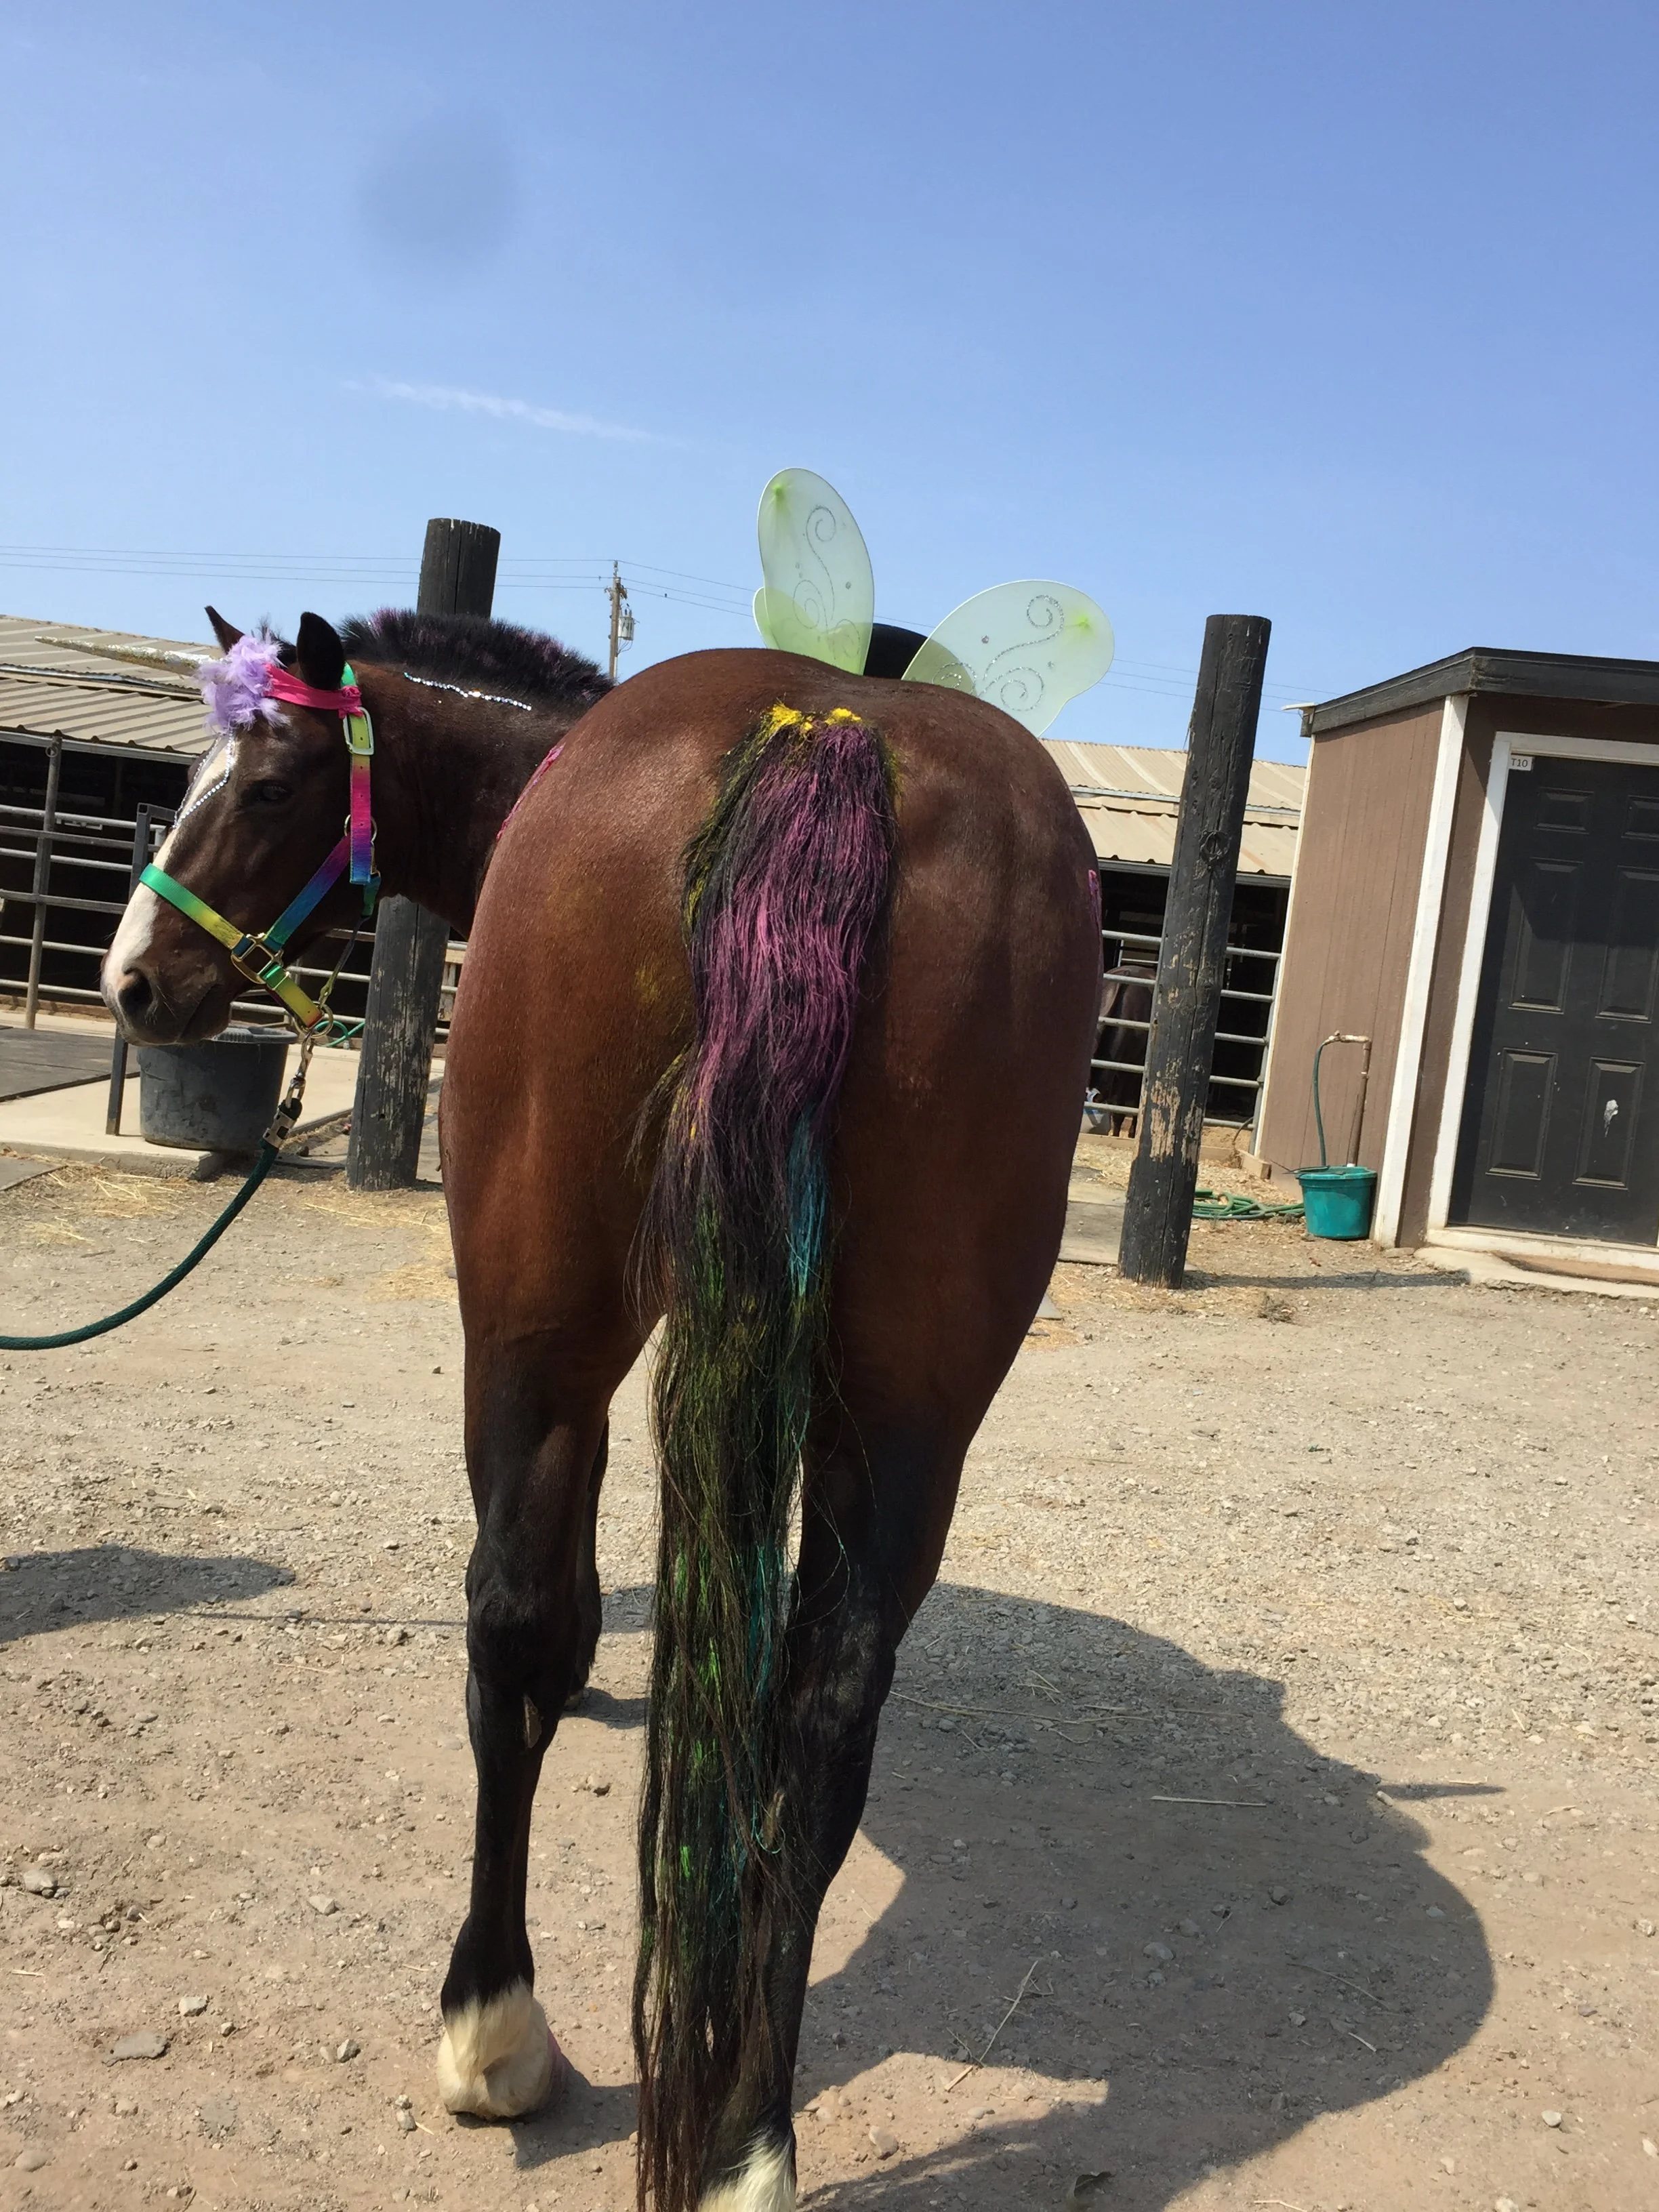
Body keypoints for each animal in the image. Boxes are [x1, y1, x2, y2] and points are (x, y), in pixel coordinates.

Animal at [104, 608, 1103, 2212]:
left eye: (264, 786)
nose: (132, 983)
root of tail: (827, 733)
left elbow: (552, 1609)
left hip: (538, 1322)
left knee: (510, 1623)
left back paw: (494, 2029)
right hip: (911, 1405)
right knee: (824, 1708)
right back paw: (750, 2139)